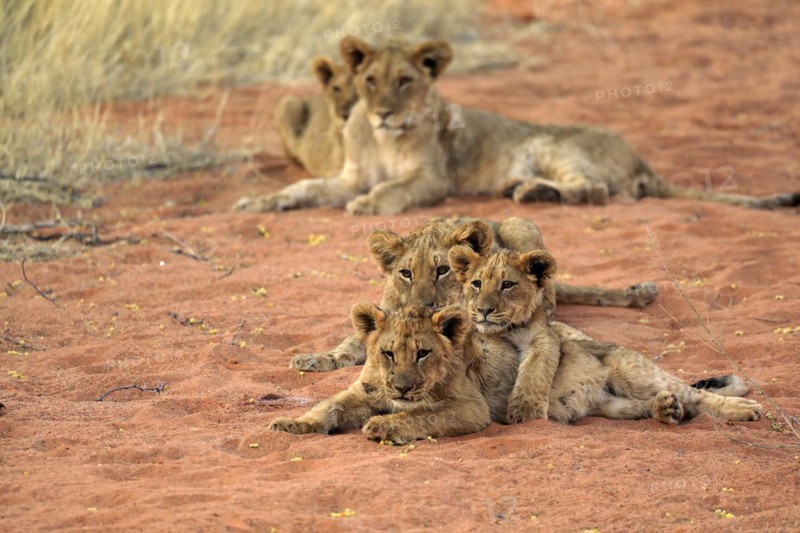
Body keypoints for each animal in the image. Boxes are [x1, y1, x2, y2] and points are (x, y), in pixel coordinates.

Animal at [235, 37, 798, 214]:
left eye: (404, 81)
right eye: (369, 80)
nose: (382, 113)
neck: (381, 139)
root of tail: (643, 159)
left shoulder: (434, 178)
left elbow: (394, 188)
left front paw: (371, 205)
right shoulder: (347, 174)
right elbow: (306, 187)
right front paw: (259, 202)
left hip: (554, 145)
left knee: (593, 190)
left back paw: (532, 193)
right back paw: (522, 189)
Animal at [289, 216, 658, 373]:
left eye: (442, 270)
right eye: (406, 273)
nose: (422, 305)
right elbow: (349, 342)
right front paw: (316, 358)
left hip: (520, 224)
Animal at [448, 236, 763, 426]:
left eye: (507, 285)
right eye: (477, 283)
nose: (484, 310)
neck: (502, 331)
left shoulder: (544, 337)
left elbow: (536, 367)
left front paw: (526, 410)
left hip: (634, 373)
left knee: (697, 395)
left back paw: (744, 409)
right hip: (613, 405)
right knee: (664, 405)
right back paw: (666, 410)